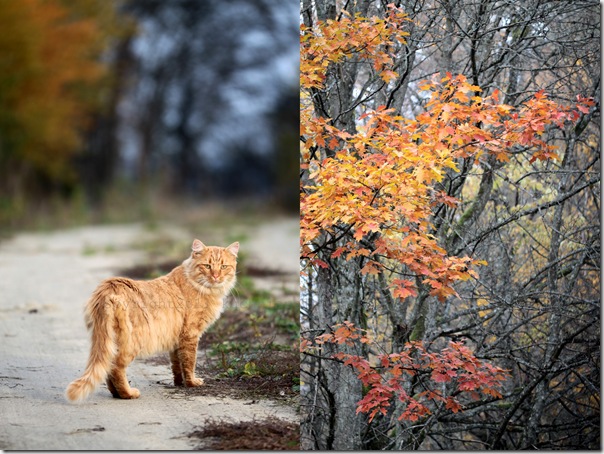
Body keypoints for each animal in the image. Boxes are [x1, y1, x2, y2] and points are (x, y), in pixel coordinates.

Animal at [64, 239, 238, 402]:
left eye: (224, 267)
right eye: (207, 266)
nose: (216, 276)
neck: (204, 288)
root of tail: (110, 288)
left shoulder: (177, 339)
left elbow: (177, 364)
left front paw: (179, 383)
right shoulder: (190, 334)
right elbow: (189, 362)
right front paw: (192, 383)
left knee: (108, 369)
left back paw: (116, 394)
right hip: (133, 342)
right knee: (116, 368)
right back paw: (128, 394)